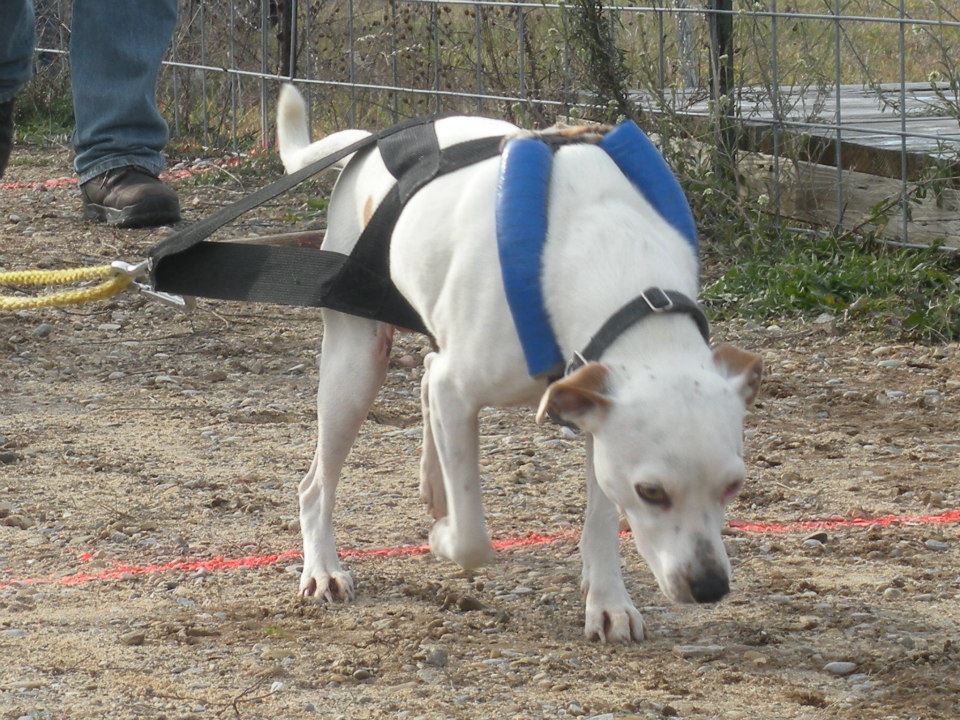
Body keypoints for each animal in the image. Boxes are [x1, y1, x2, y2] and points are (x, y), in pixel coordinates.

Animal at [276, 84, 756, 640]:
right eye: (651, 492)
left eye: (733, 485)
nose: (710, 587)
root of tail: (371, 145)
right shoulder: (464, 391)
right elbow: (472, 538)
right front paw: (444, 538)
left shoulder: (594, 409)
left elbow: (600, 520)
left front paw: (608, 602)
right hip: (354, 369)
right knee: (316, 485)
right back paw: (323, 567)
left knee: (427, 374)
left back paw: (433, 483)